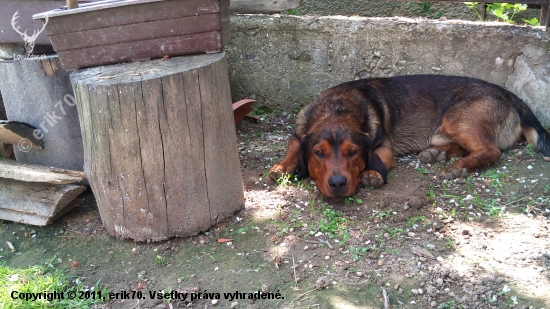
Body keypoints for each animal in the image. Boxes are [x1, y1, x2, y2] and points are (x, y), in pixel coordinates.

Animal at [270, 76, 550, 199]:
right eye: (318, 154)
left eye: (354, 153)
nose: (338, 184)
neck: (337, 109)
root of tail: (509, 94)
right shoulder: (299, 133)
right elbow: (293, 148)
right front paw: (282, 166)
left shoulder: (383, 147)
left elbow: (378, 161)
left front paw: (371, 173)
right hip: (443, 131)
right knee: (470, 147)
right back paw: (438, 155)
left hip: (456, 118)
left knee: (491, 151)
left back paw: (456, 167)